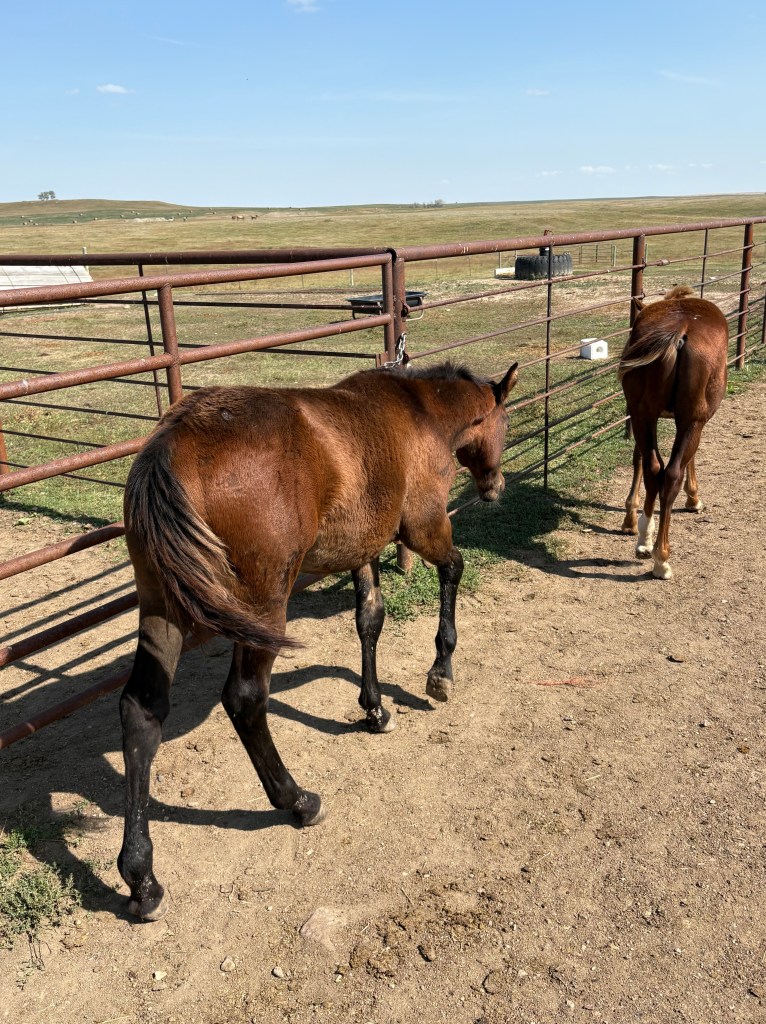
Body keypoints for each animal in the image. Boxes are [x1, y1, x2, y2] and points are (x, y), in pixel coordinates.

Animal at [117, 359, 519, 920]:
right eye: (504, 421)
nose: (495, 485)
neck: (421, 413)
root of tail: (173, 446)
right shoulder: (424, 525)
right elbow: (453, 570)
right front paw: (440, 672)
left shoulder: (364, 547)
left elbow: (370, 619)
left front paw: (375, 709)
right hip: (264, 601)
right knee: (245, 700)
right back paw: (298, 801)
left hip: (161, 604)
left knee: (142, 710)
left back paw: (142, 876)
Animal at [619, 285, 729, 579]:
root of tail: (679, 330)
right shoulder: (693, 421)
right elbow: (690, 460)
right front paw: (694, 497)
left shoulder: (640, 415)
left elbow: (638, 458)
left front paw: (632, 518)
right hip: (692, 420)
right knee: (671, 474)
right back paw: (661, 558)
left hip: (643, 413)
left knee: (654, 468)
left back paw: (645, 540)